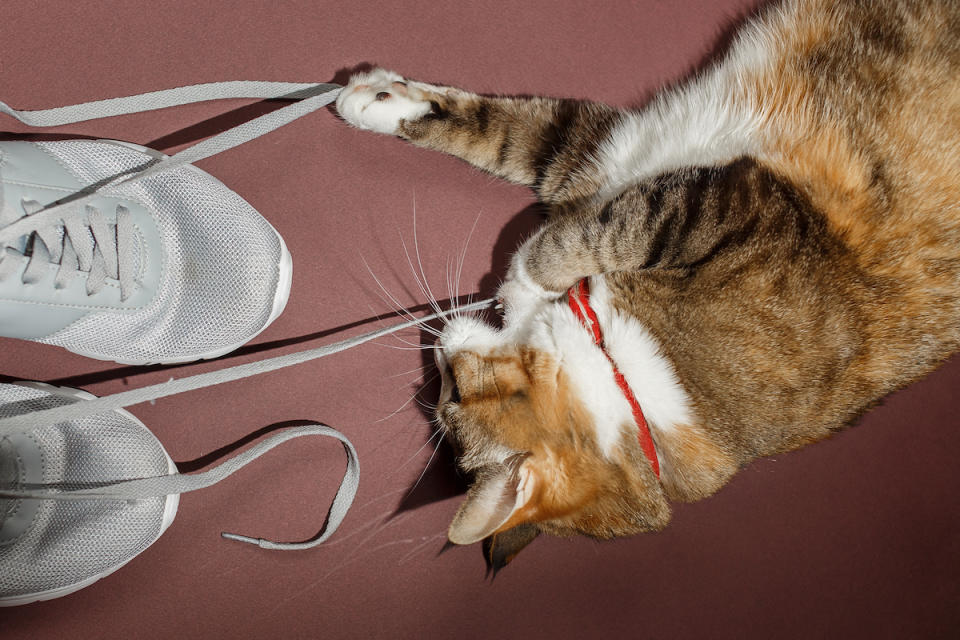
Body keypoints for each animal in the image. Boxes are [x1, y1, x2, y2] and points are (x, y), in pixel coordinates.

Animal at [336, 0, 960, 568]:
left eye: (451, 395)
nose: (437, 347)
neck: (629, 373)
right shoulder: (612, 158)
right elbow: (512, 135)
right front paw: (371, 102)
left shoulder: (726, 210)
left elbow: (596, 232)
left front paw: (521, 284)